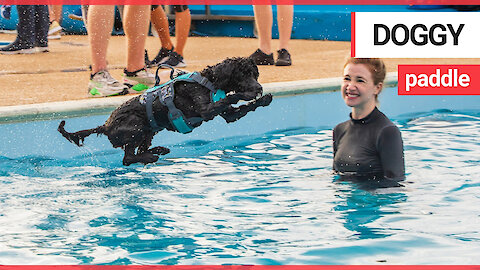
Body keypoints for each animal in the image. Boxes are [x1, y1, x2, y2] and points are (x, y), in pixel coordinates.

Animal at [58, 57, 272, 165]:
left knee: (137, 152)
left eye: (255, 74)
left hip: (148, 131)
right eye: (243, 75)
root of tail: (105, 125)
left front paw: (264, 99)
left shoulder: (228, 115)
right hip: (136, 126)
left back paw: (158, 150)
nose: (259, 87)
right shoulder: (205, 110)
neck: (210, 81)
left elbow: (240, 109)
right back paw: (152, 155)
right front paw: (246, 94)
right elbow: (231, 97)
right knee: (128, 158)